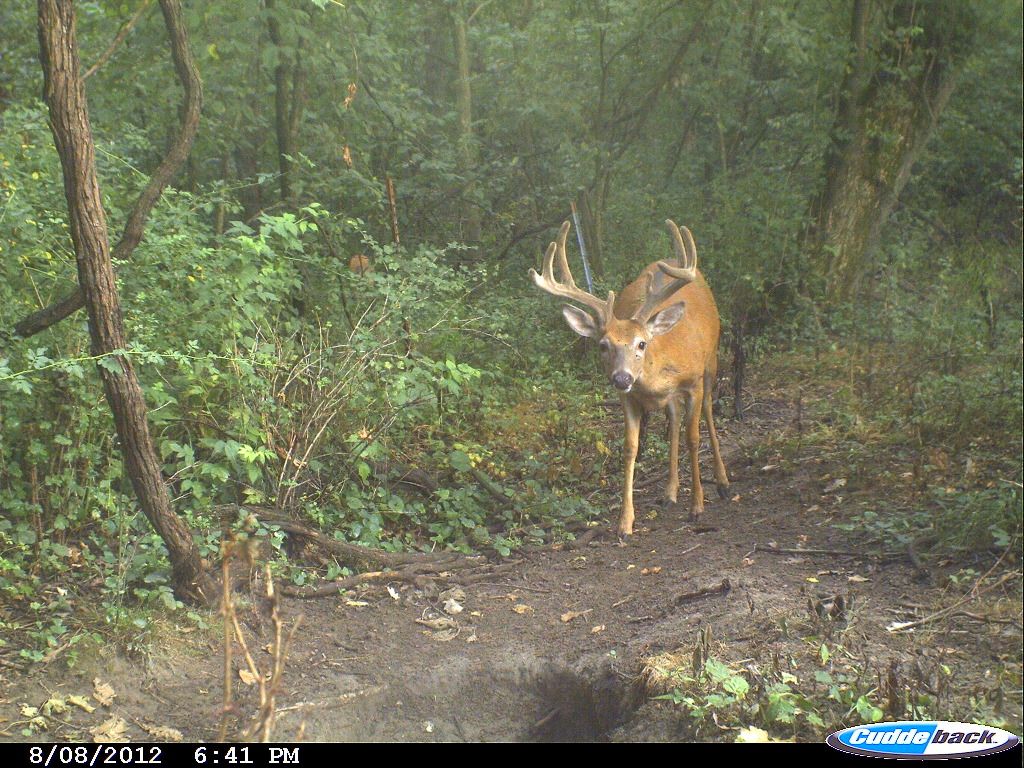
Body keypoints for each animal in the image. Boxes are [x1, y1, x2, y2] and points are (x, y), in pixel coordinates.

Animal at [529, 220, 730, 536]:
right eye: (603, 345)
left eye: (641, 343)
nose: (622, 378)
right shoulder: (630, 398)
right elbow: (630, 448)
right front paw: (625, 522)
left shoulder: (693, 382)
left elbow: (693, 437)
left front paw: (697, 507)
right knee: (673, 418)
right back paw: (670, 492)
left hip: (712, 361)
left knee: (709, 410)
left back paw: (721, 483)